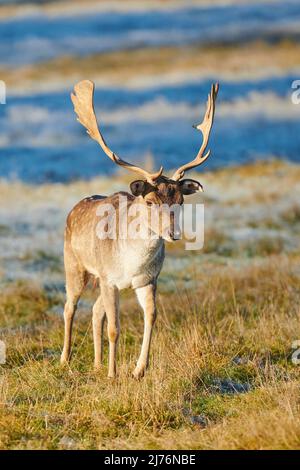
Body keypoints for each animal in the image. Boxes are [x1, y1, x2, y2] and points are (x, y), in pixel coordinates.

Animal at [60, 80, 218, 378]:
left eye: (180, 200)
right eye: (150, 200)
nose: (173, 233)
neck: (131, 263)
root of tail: (74, 208)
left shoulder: (148, 280)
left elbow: (151, 317)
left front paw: (138, 370)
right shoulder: (109, 278)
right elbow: (114, 328)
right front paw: (113, 374)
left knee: (95, 311)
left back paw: (96, 363)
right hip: (74, 265)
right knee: (69, 307)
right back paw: (65, 359)